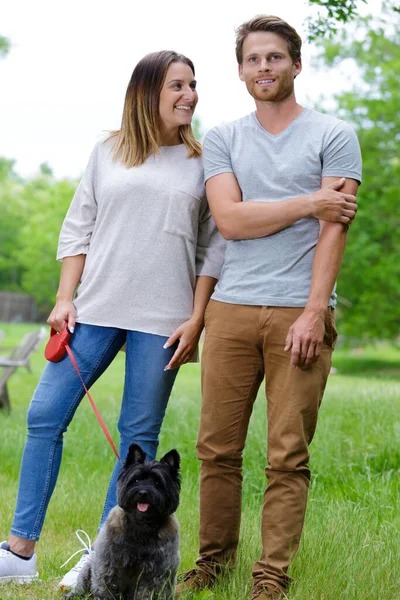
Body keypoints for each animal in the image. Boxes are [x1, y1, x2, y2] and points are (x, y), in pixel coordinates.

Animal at [63, 442, 180, 596]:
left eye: (157, 483)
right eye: (136, 480)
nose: (143, 493)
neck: (141, 525)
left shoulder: (156, 572)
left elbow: (148, 592)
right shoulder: (109, 564)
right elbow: (105, 585)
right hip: (88, 569)